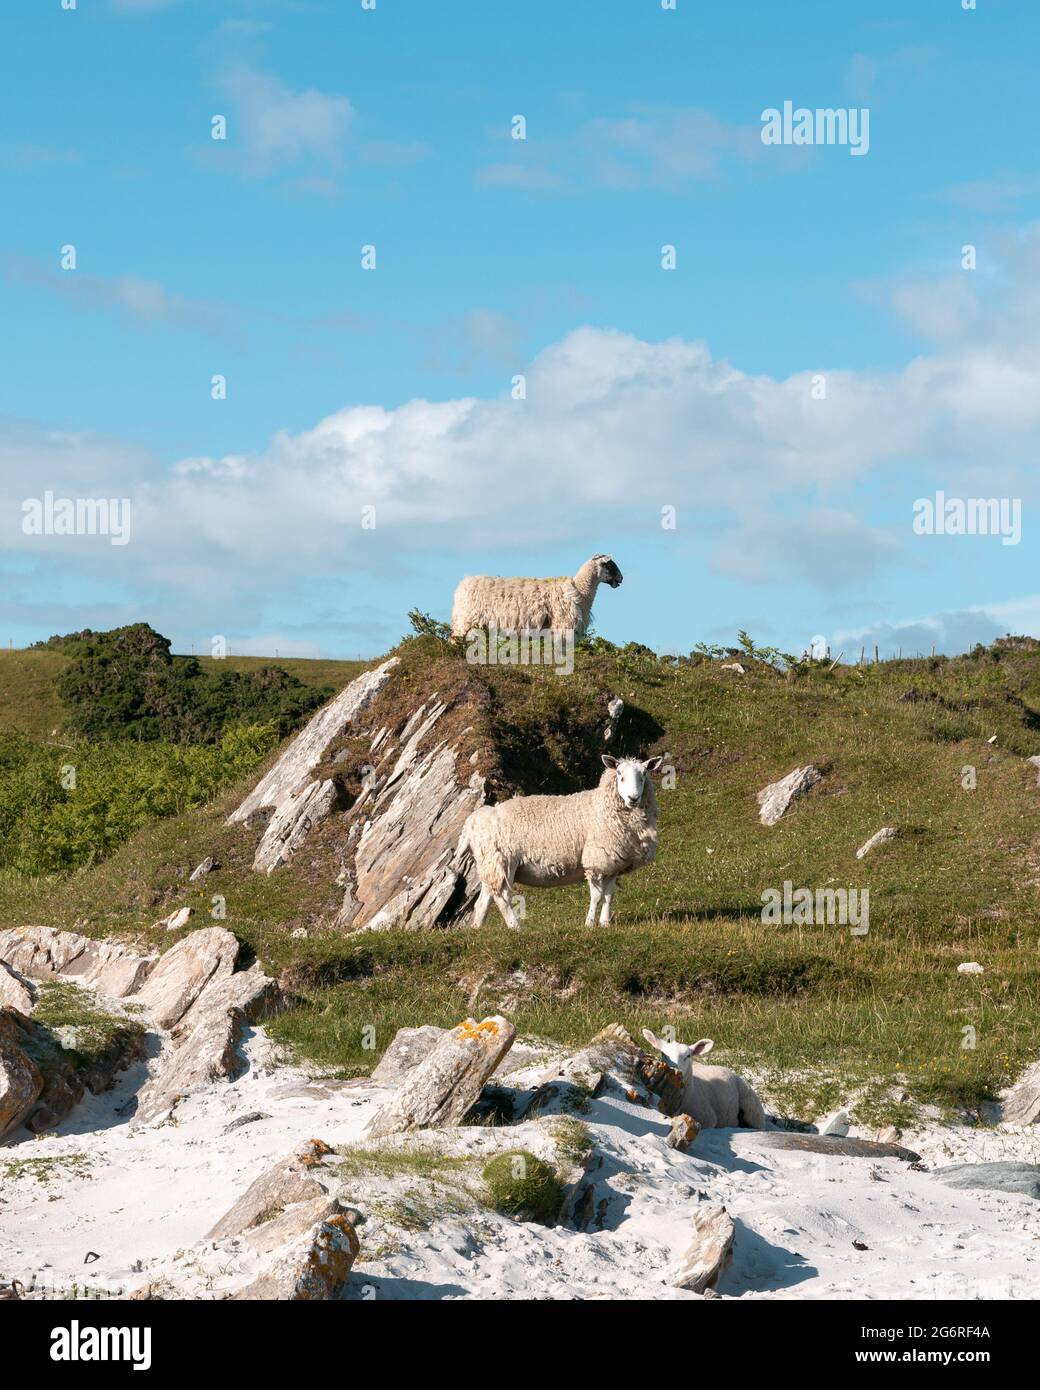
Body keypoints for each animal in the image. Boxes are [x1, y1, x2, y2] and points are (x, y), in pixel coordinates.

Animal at [450, 554, 623, 640]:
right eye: (608, 564)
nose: (621, 578)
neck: (580, 590)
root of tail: (463, 585)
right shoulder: (562, 626)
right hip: (466, 620)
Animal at [459, 753, 662, 929]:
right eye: (620, 775)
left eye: (644, 774)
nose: (633, 798)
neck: (602, 807)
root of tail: (471, 823)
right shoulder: (596, 861)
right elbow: (597, 896)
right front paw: (589, 924)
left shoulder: (613, 865)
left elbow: (609, 896)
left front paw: (605, 924)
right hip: (503, 860)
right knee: (503, 898)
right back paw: (516, 927)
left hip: (489, 864)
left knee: (483, 902)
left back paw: (477, 929)